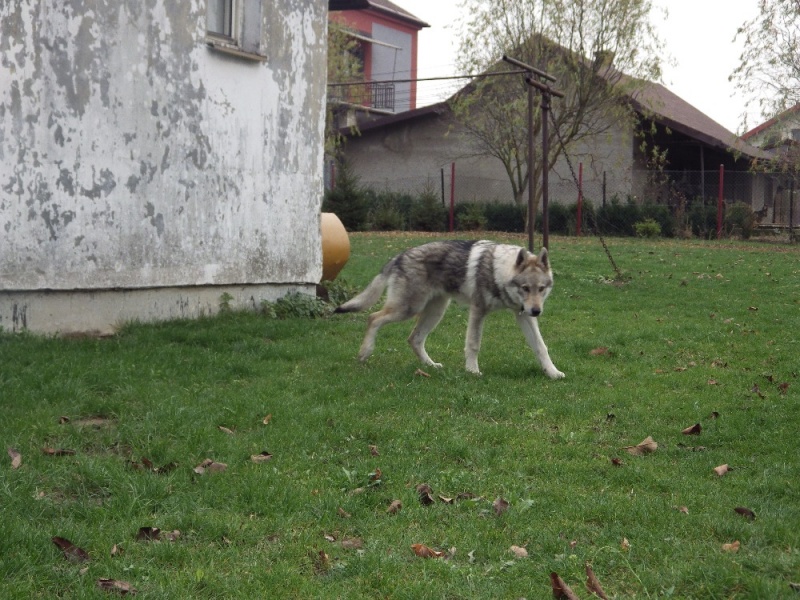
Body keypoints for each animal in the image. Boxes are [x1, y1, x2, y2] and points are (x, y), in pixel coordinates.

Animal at [334, 239, 564, 380]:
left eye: (541, 289)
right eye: (525, 288)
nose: (536, 311)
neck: (498, 272)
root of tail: (399, 256)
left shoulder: (522, 315)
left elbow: (541, 347)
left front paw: (552, 372)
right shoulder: (478, 310)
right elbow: (473, 344)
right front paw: (472, 371)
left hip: (435, 312)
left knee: (414, 338)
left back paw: (430, 366)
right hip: (408, 309)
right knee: (373, 318)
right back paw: (365, 353)